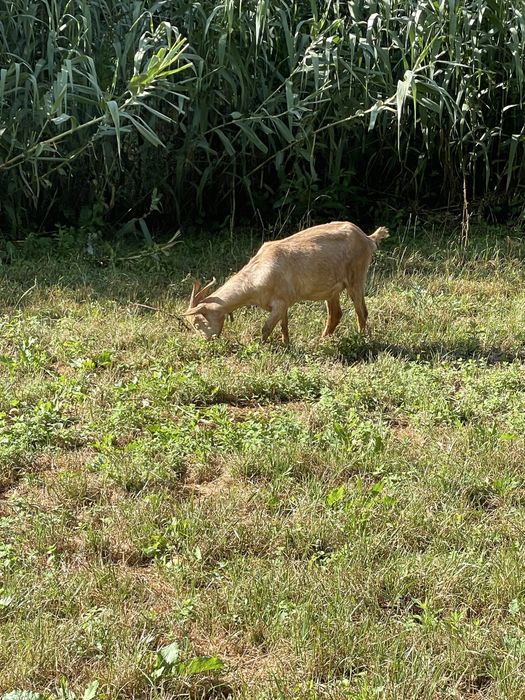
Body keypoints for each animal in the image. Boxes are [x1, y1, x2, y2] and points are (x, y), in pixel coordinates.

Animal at [184, 221, 389, 343]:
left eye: (197, 322)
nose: (206, 341)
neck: (256, 277)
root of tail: (368, 238)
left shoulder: (280, 303)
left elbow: (266, 328)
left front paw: (261, 346)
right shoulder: (283, 303)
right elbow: (284, 326)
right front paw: (286, 345)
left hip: (357, 276)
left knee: (361, 311)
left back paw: (362, 340)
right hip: (332, 289)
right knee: (335, 314)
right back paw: (321, 341)